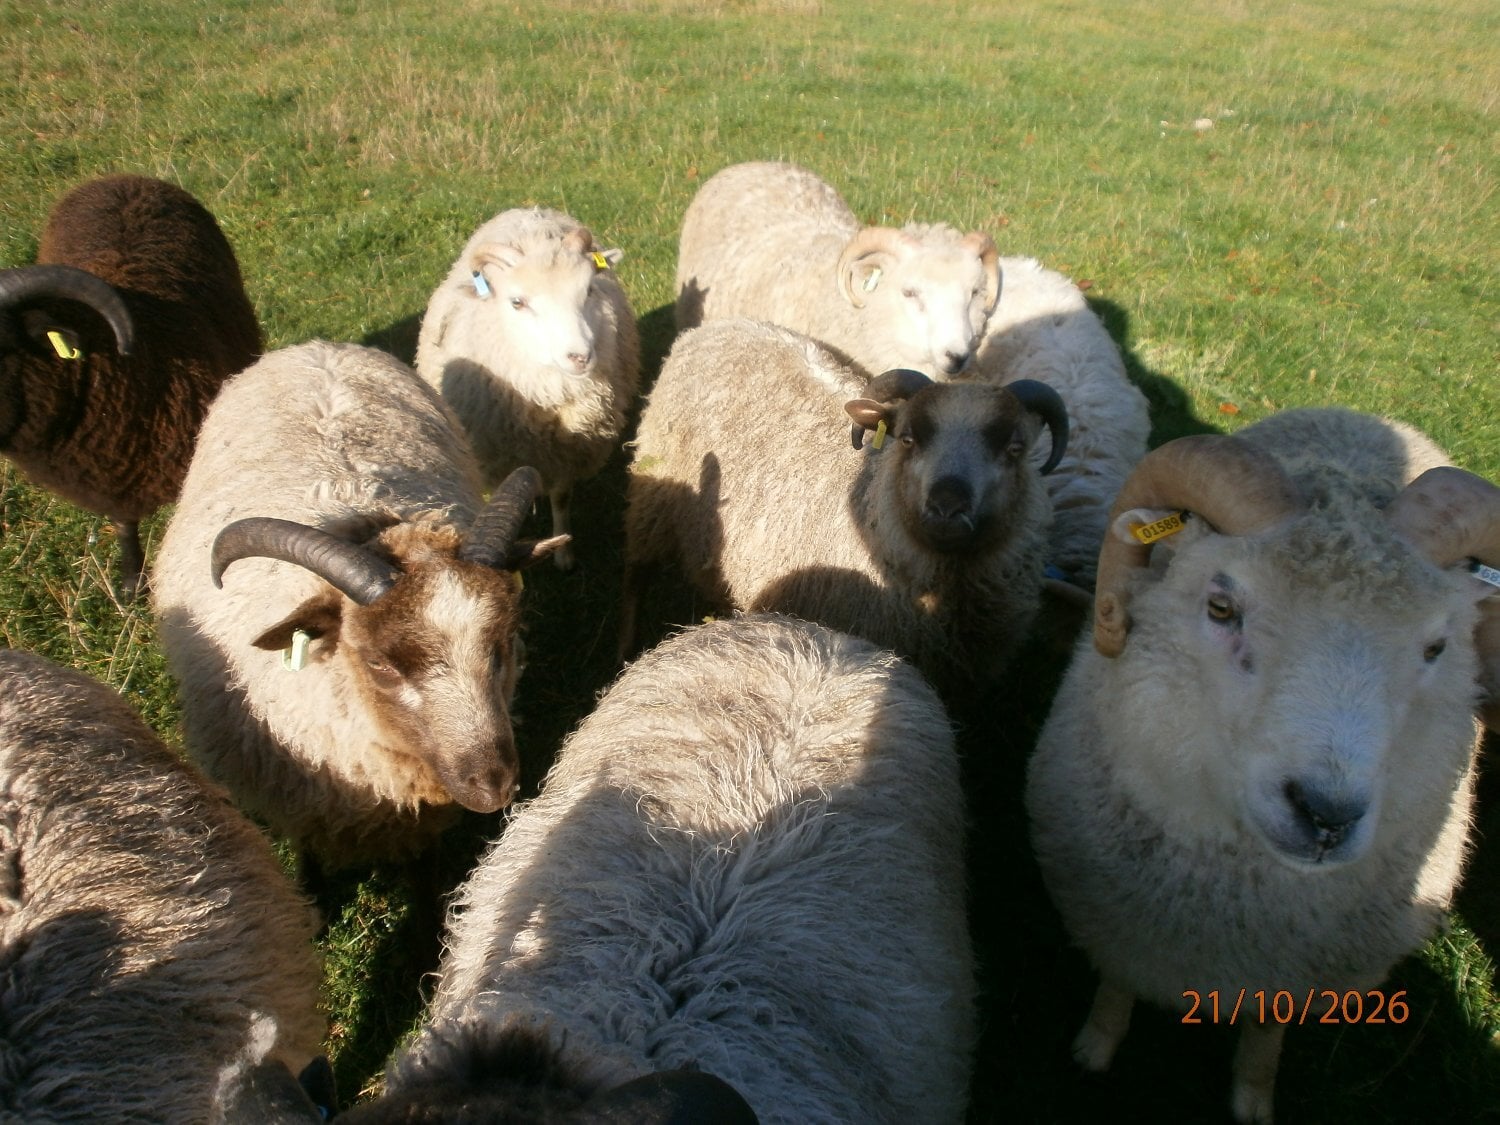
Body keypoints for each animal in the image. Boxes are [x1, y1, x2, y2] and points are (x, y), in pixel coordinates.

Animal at [415, 206, 640, 571]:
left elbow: (561, 498)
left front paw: (564, 555)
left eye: (589, 290)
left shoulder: (567, 453)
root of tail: (530, 210)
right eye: (517, 302)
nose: (579, 356)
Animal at [620, 317, 1068, 688]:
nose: (946, 507)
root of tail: (717, 326)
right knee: (636, 575)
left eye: (1014, 448)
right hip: (654, 494)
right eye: (908, 438)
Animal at [1023, 407, 1500, 1123]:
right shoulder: (1118, 920)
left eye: (1437, 646)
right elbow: (1116, 985)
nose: (1326, 815)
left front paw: (1252, 1097)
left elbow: (1267, 1033)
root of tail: (1365, 414)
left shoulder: (1293, 977)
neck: (1237, 914)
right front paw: (1095, 1049)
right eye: (1221, 607)